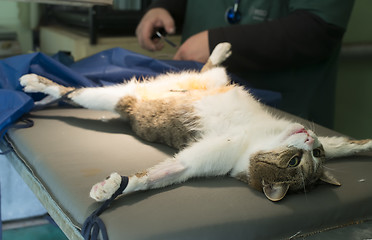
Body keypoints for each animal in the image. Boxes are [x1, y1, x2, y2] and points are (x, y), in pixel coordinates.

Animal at [19, 42, 372, 201]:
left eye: (311, 157)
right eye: (298, 159)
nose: (312, 140)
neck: (257, 138)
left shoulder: (203, 161)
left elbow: (163, 173)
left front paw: (113, 187)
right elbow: (345, 145)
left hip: (123, 97)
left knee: (77, 94)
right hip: (189, 85)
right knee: (71, 91)